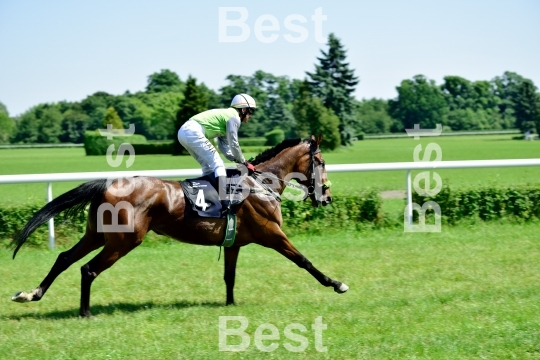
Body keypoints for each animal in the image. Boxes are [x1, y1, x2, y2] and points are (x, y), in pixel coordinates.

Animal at [12, 136, 350, 318]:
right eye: (320, 161)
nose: (327, 197)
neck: (260, 185)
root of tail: (108, 183)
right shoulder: (272, 234)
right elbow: (304, 261)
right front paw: (336, 283)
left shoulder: (235, 243)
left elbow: (229, 275)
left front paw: (229, 304)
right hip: (123, 241)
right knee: (88, 269)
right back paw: (85, 312)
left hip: (97, 235)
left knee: (65, 259)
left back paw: (31, 294)